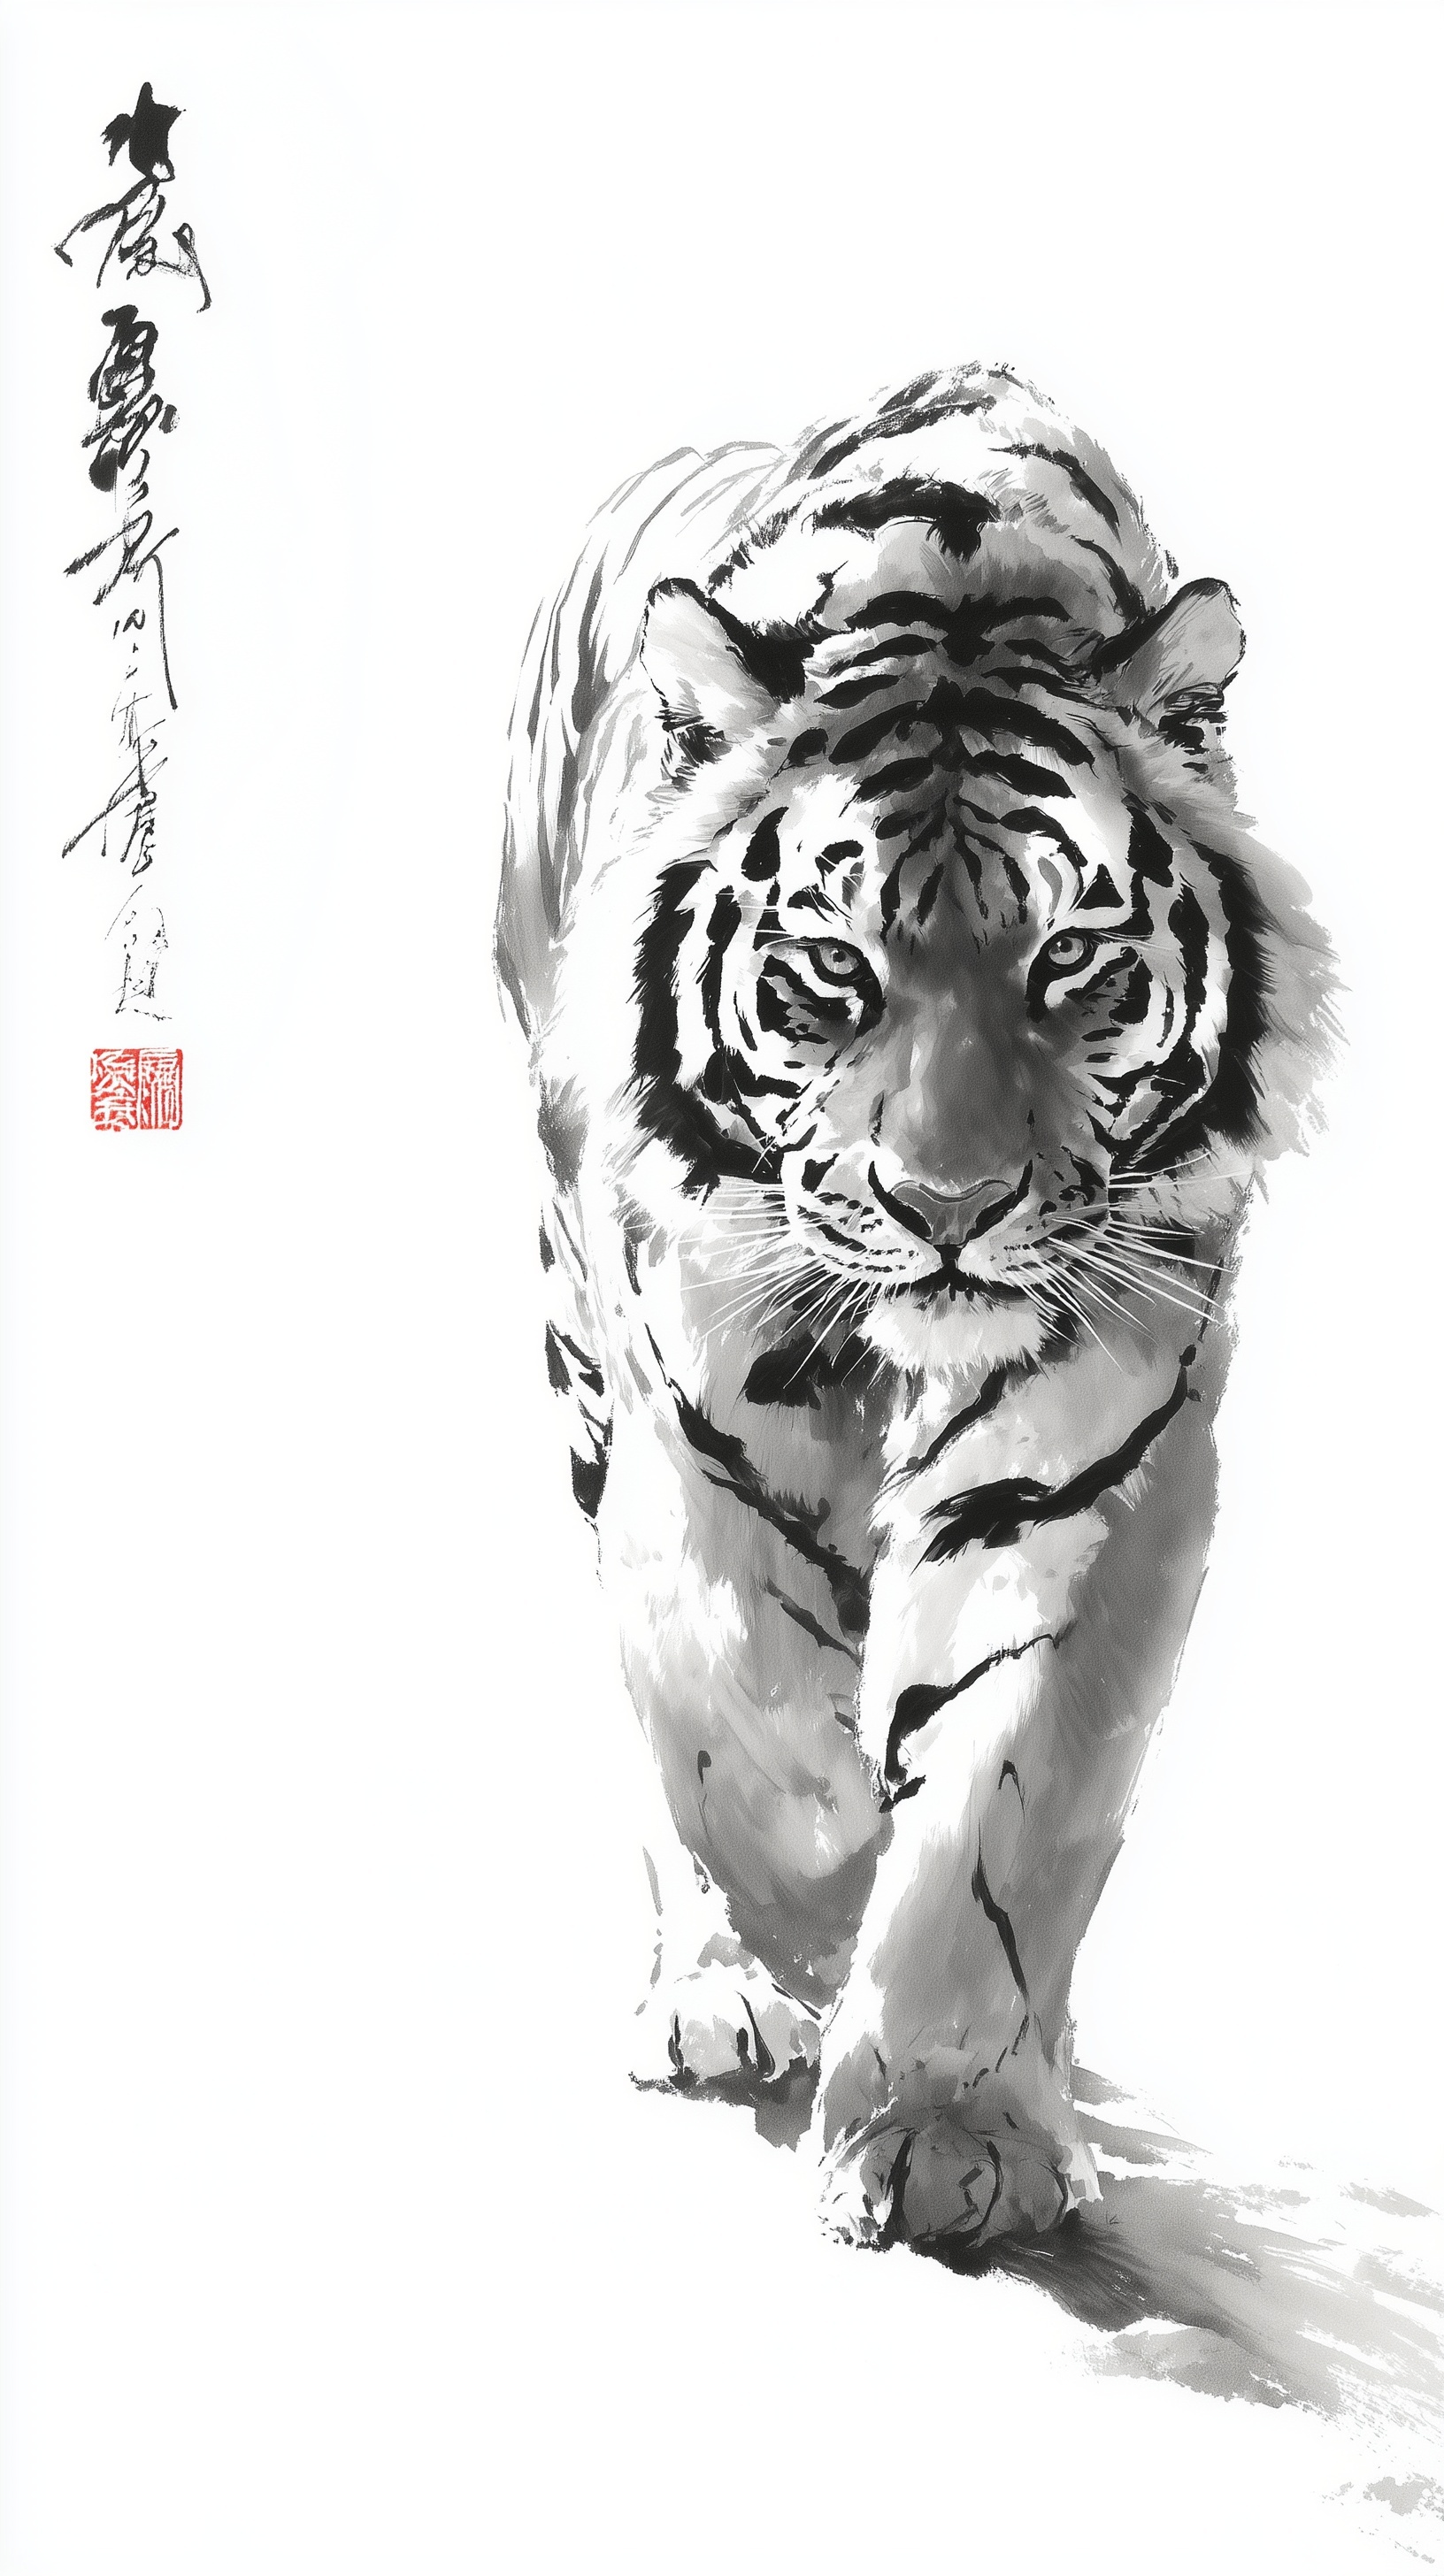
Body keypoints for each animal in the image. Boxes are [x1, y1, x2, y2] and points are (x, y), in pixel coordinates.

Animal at [495, 364, 1334, 2252]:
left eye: (1071, 964)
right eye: (830, 971)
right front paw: (800, 1898)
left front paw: (953, 2130)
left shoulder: (1099, 1448)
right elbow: (725, 1683)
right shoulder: (681, 1387)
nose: (947, 1208)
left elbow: (998, 1794)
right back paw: (716, 1983)